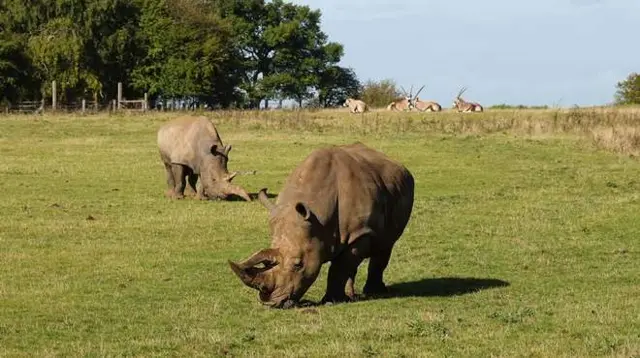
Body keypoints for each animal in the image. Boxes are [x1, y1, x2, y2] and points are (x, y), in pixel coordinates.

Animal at [230, 143, 416, 308]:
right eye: (265, 265)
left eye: (298, 264)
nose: (271, 304)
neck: (318, 218)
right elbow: (345, 265)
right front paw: (339, 299)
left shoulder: (361, 233)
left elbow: (339, 268)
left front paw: (330, 301)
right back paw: (351, 296)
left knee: (385, 244)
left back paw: (374, 292)